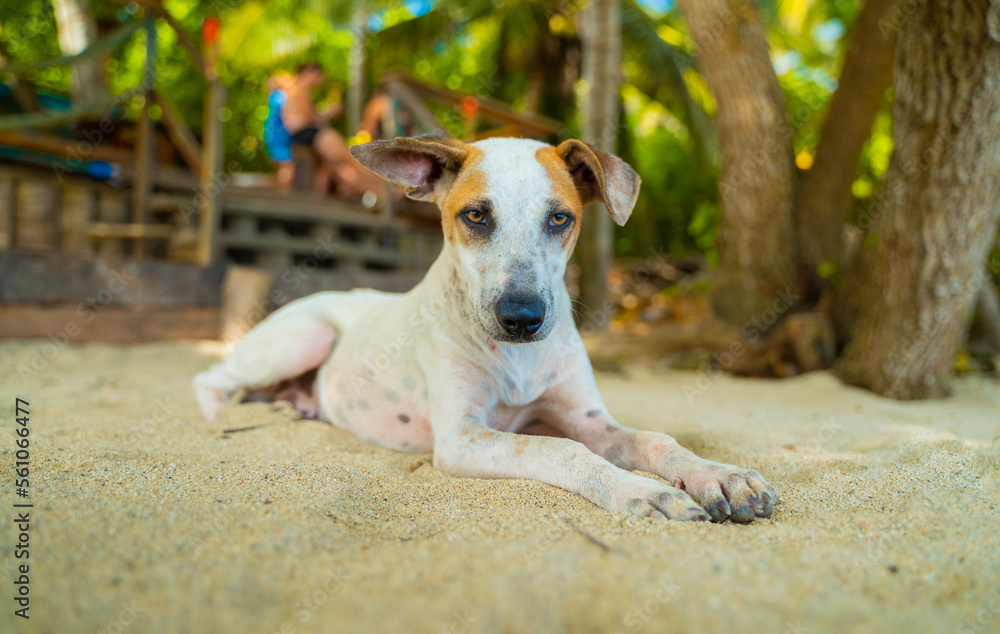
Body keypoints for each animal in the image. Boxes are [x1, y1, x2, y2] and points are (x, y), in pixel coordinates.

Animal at [193, 136, 772, 520]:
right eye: (475, 216)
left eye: (559, 218)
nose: (522, 317)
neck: (517, 359)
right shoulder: (461, 436)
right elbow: (561, 450)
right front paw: (641, 491)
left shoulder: (585, 418)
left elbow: (655, 438)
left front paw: (720, 475)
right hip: (305, 336)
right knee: (211, 377)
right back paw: (220, 415)